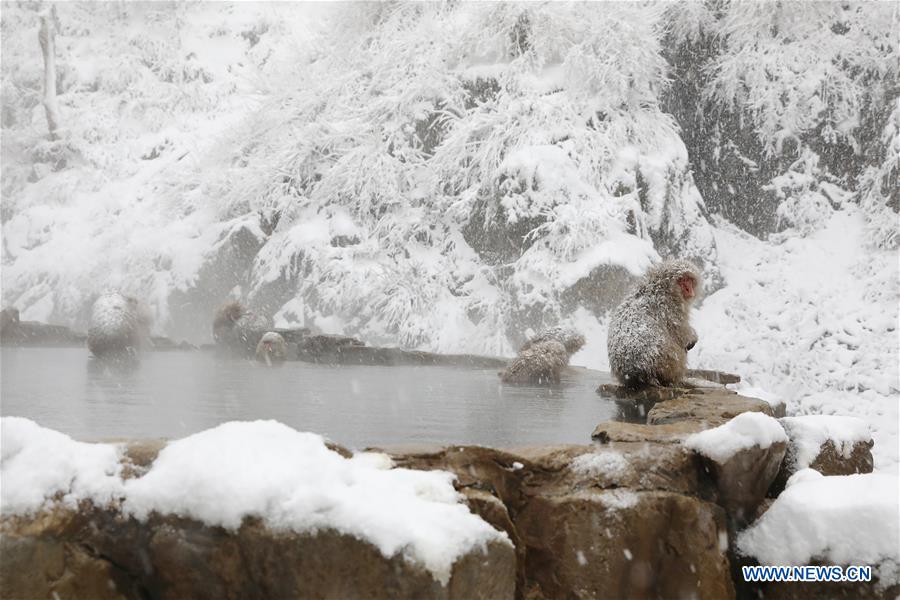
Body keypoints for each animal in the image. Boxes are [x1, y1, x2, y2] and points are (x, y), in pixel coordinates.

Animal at [607, 259, 701, 388]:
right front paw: (692, 338)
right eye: (683, 280)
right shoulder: (670, 307)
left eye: (690, 280)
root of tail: (635, 372)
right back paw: (673, 381)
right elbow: (680, 332)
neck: (662, 286)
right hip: (667, 362)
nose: (689, 290)